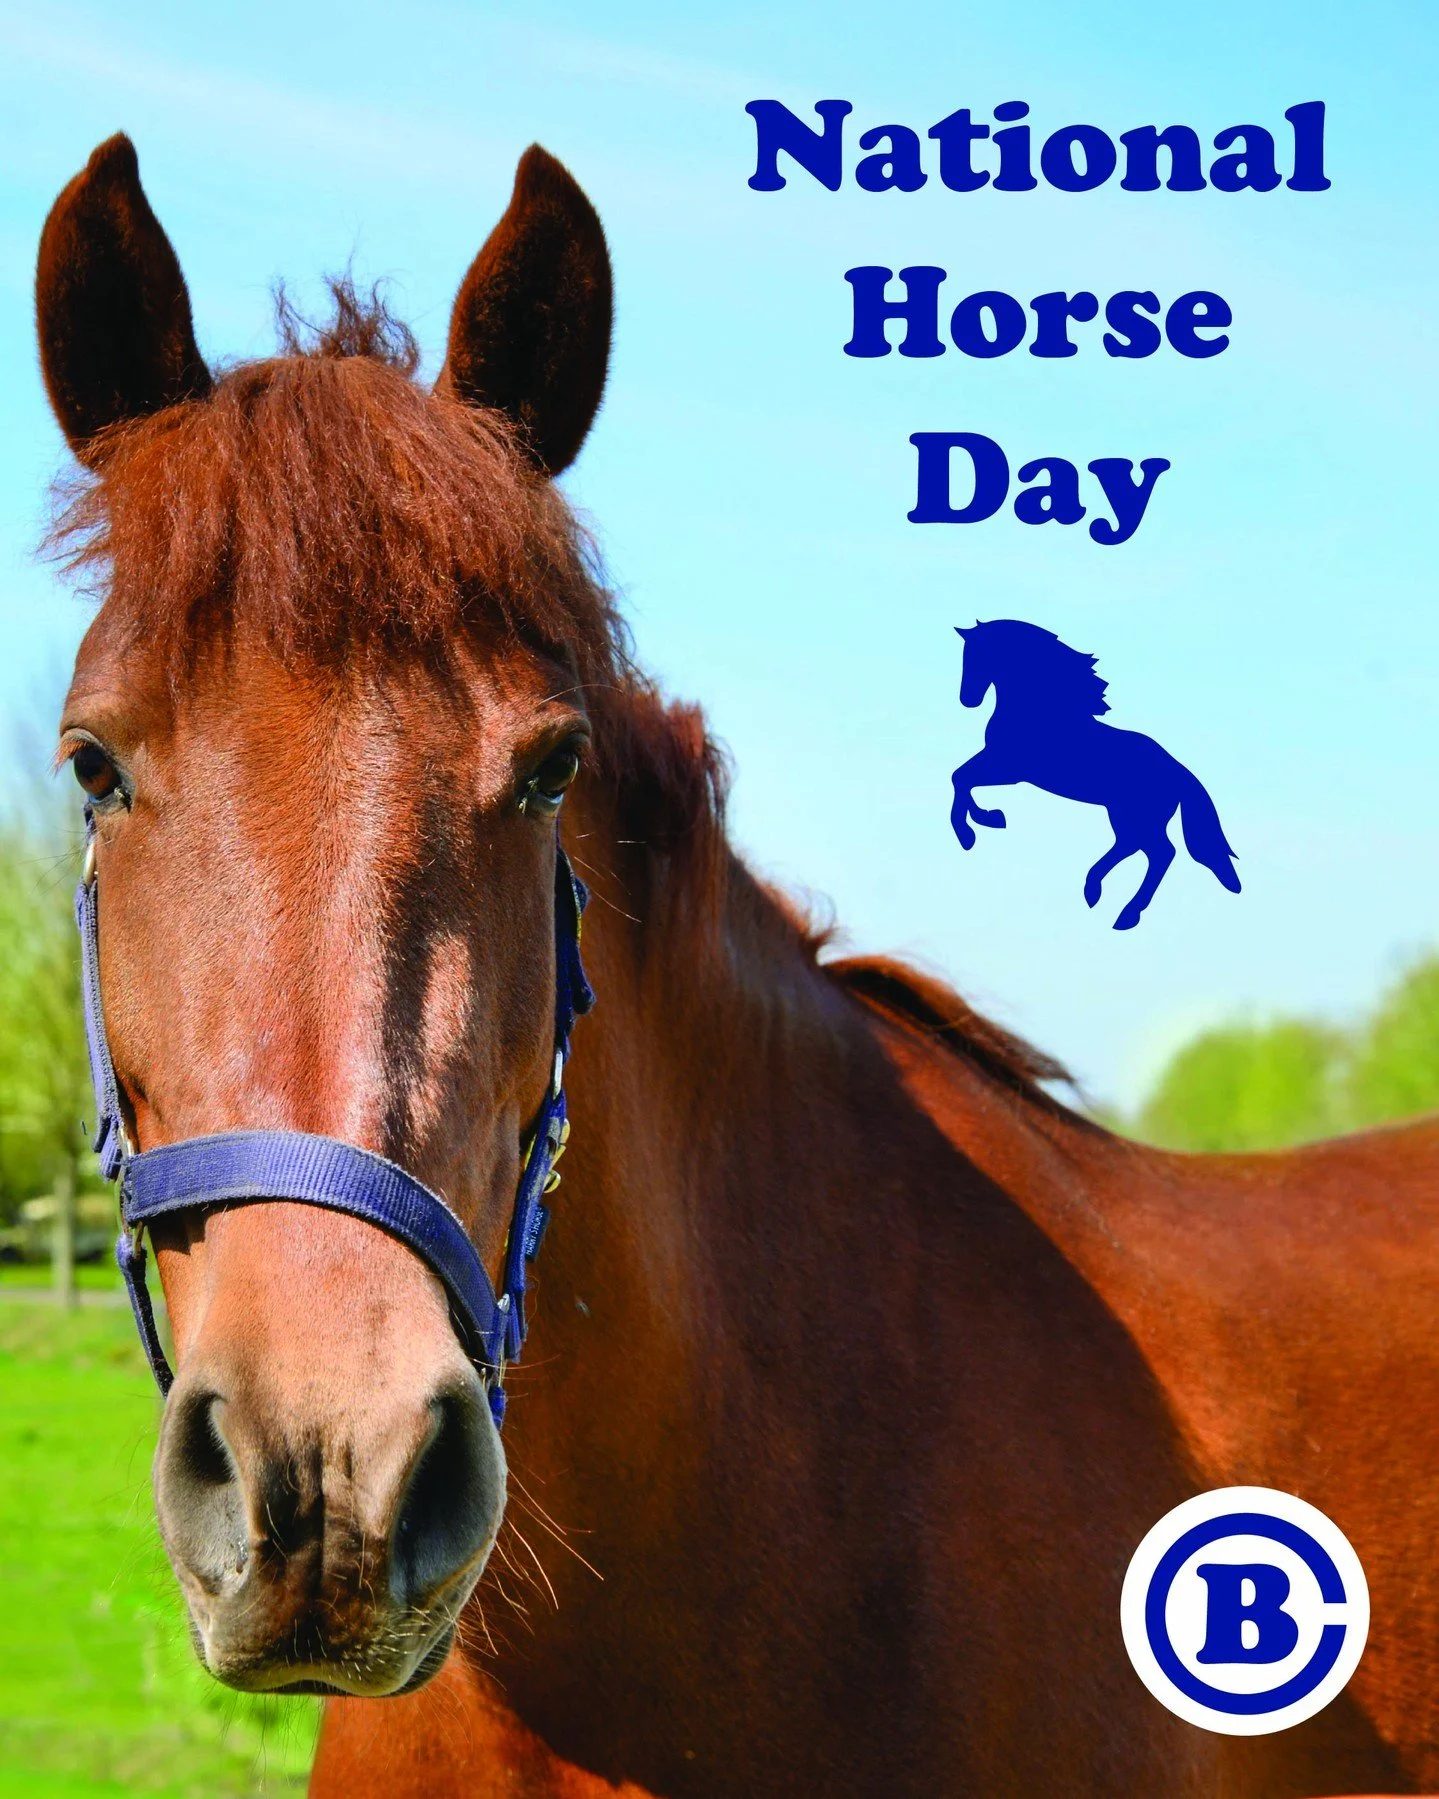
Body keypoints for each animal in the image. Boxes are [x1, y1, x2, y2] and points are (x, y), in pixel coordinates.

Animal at [950, 619, 1242, 929]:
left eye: (977, 657)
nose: (967, 699)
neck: (1039, 709)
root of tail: (1179, 771)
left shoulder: (1009, 767)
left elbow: (961, 778)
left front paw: (970, 832)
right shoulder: (998, 762)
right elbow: (961, 778)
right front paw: (990, 818)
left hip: (1137, 814)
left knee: (1159, 851)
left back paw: (1121, 909)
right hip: (1125, 813)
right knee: (1136, 846)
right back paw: (1100, 893)